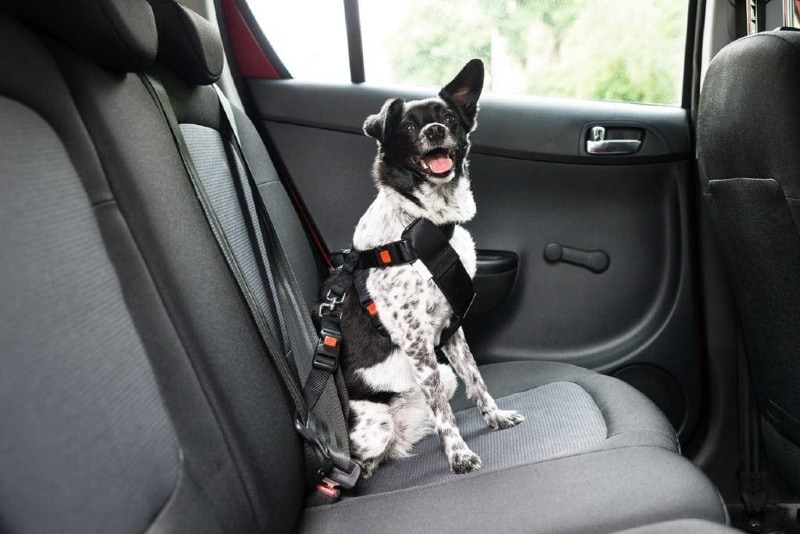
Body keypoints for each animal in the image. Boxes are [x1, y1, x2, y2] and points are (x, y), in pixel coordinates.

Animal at [330, 59, 520, 482]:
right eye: (407, 128)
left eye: (448, 118)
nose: (434, 131)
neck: (424, 222)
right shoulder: (416, 340)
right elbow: (446, 414)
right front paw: (459, 454)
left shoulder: (451, 327)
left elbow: (476, 379)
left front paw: (495, 417)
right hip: (377, 423)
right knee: (367, 459)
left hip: (441, 377)